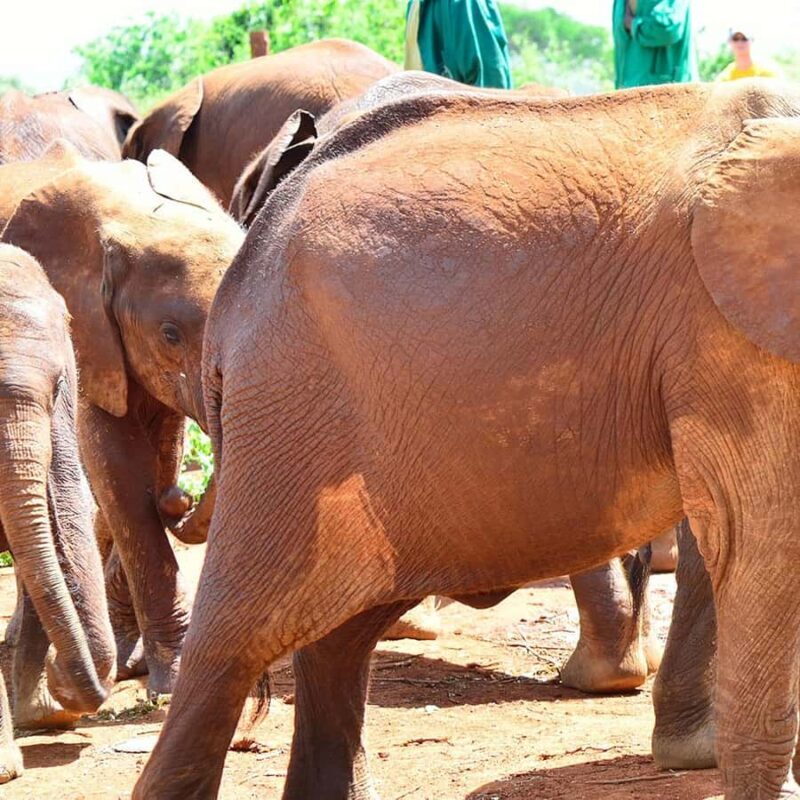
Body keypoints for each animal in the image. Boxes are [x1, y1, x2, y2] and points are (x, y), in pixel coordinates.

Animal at [0, 140, 243, 694]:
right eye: (171, 334)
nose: (181, 500)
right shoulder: (87, 329)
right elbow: (118, 471)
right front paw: (171, 678)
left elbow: (160, 451)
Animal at [133, 78, 800, 800]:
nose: (172, 500)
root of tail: (238, 281)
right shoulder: (726, 336)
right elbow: (762, 541)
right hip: (290, 404)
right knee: (235, 636)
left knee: (341, 634)